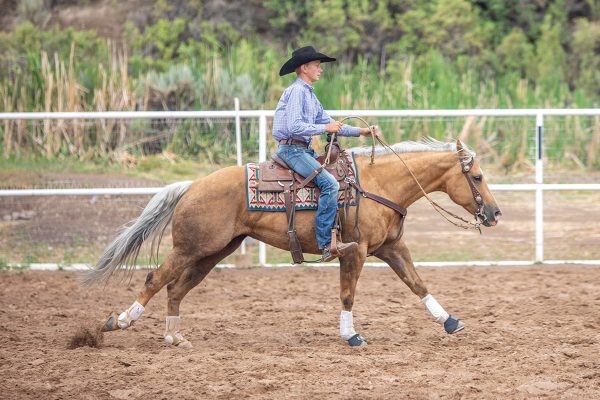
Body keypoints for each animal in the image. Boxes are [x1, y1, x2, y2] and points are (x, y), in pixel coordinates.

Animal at [85, 138, 502, 346]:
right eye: (477, 177)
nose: (495, 214)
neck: (379, 185)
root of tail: (191, 186)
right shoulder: (355, 252)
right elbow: (347, 294)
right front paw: (351, 335)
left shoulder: (391, 248)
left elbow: (418, 283)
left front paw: (450, 321)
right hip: (191, 249)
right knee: (155, 279)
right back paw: (117, 322)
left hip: (213, 251)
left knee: (176, 288)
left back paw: (174, 337)